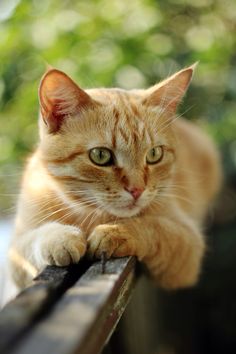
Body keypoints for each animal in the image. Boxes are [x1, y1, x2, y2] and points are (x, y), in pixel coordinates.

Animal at [9, 65, 222, 290]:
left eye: (154, 154)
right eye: (100, 155)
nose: (137, 190)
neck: (90, 216)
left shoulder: (187, 243)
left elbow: (153, 227)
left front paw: (114, 232)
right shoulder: (14, 256)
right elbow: (31, 240)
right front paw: (59, 238)